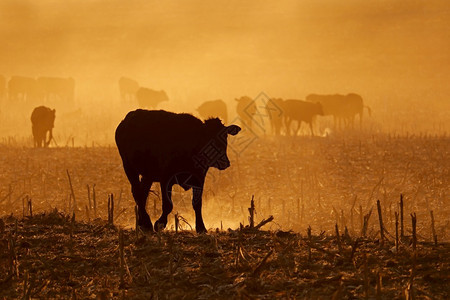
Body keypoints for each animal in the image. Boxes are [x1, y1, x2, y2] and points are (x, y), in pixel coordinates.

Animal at [115, 109, 243, 233]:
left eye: (225, 137)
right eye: (207, 138)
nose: (224, 162)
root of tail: (126, 120)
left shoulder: (199, 178)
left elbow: (197, 203)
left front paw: (201, 227)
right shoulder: (165, 178)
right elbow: (168, 205)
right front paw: (159, 224)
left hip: (148, 175)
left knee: (143, 193)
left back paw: (142, 224)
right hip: (129, 168)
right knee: (137, 193)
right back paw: (147, 224)